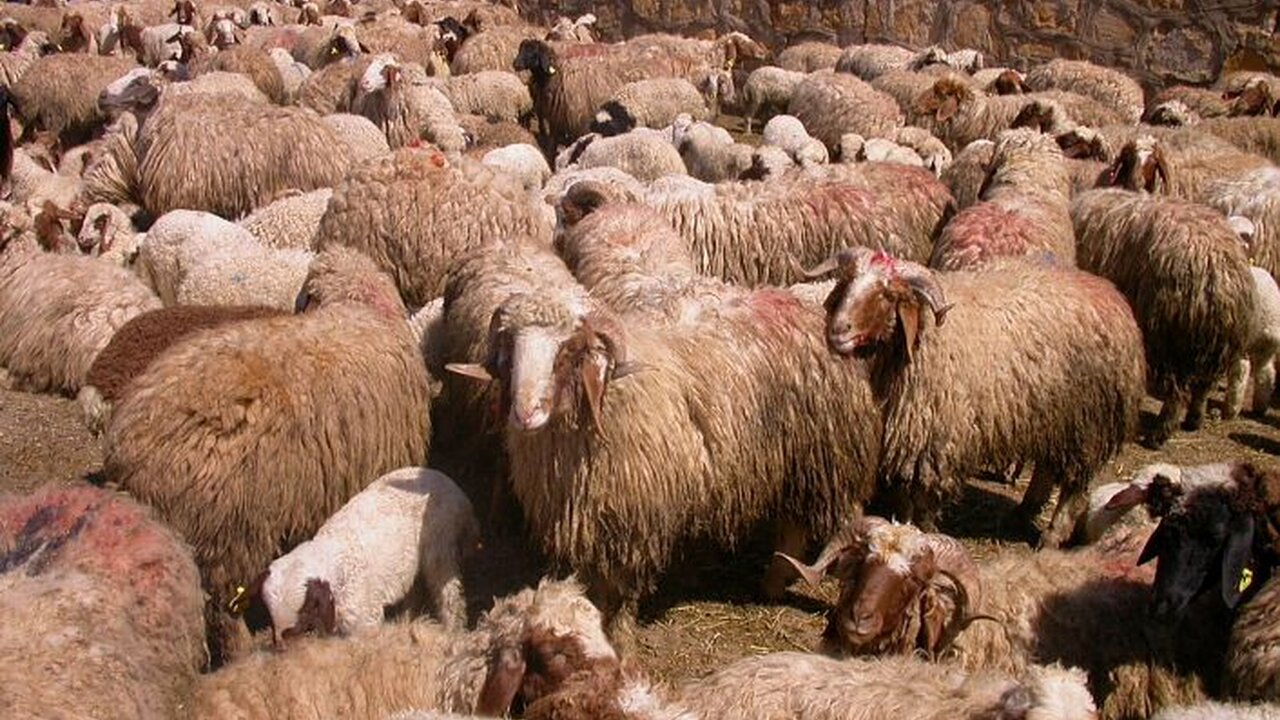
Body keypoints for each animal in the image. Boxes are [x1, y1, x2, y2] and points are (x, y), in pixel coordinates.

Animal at [258, 467, 479, 641]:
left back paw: (451, 631)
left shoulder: (364, 622)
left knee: (448, 591)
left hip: (442, 543)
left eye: (304, 611)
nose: (281, 644)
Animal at [805, 249, 1145, 545]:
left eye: (888, 295)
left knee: (1073, 486)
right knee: (1046, 468)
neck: (925, 338)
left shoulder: (937, 441)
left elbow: (924, 503)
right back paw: (1024, 511)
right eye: (848, 281)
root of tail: (1112, 295)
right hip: (1052, 415)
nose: (838, 330)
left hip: (1087, 422)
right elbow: (903, 497)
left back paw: (1051, 536)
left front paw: (925, 534)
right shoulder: (907, 436)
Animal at [1071, 188, 1257, 446]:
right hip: (1216, 344)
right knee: (1202, 388)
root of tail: (1216, 270)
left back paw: (1159, 434)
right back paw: (1193, 421)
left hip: (1170, 337)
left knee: (1178, 392)